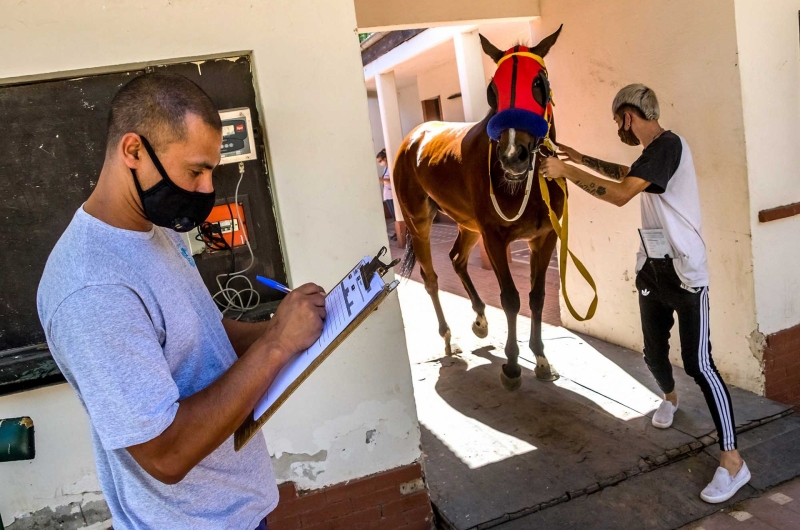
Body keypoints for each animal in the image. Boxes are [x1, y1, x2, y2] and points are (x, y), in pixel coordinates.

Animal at [396, 25, 564, 388]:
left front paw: (542, 359)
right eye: (492, 91)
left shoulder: (544, 238)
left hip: (468, 225)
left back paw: (480, 319)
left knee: (457, 259)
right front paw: (513, 365)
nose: (513, 155)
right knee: (431, 277)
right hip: (420, 222)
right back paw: (448, 337)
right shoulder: (495, 236)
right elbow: (511, 298)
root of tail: (414, 136)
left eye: (538, 84)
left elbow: (537, 296)